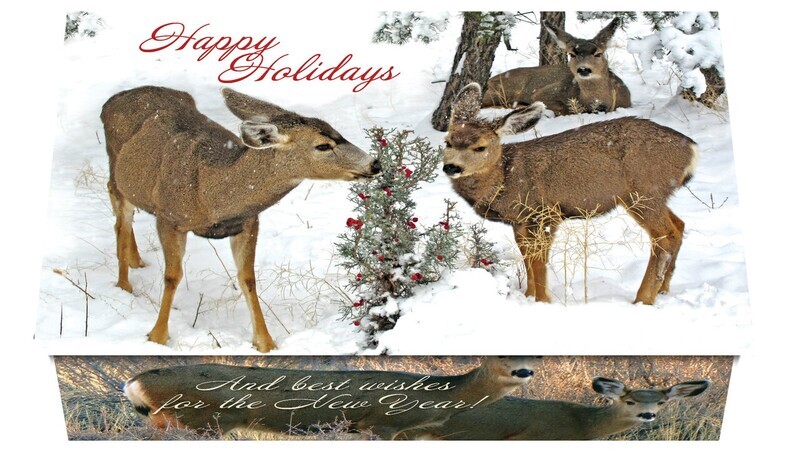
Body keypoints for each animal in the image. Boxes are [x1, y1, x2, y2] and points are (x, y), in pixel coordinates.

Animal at [101, 86, 382, 353]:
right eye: (323, 145)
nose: (375, 164)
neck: (209, 195)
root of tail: (111, 100)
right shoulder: (169, 218)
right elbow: (172, 276)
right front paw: (157, 336)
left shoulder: (248, 223)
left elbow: (248, 279)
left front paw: (266, 343)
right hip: (116, 169)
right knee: (119, 215)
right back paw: (123, 284)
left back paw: (136, 260)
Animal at [443, 82, 698, 305]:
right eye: (448, 142)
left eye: (480, 147)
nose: (451, 167)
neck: (505, 178)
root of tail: (692, 150)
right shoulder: (520, 221)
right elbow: (527, 258)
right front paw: (528, 296)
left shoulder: (544, 213)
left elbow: (538, 262)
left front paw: (543, 301)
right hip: (651, 196)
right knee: (679, 225)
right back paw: (663, 290)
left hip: (644, 191)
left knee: (665, 236)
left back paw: (643, 299)